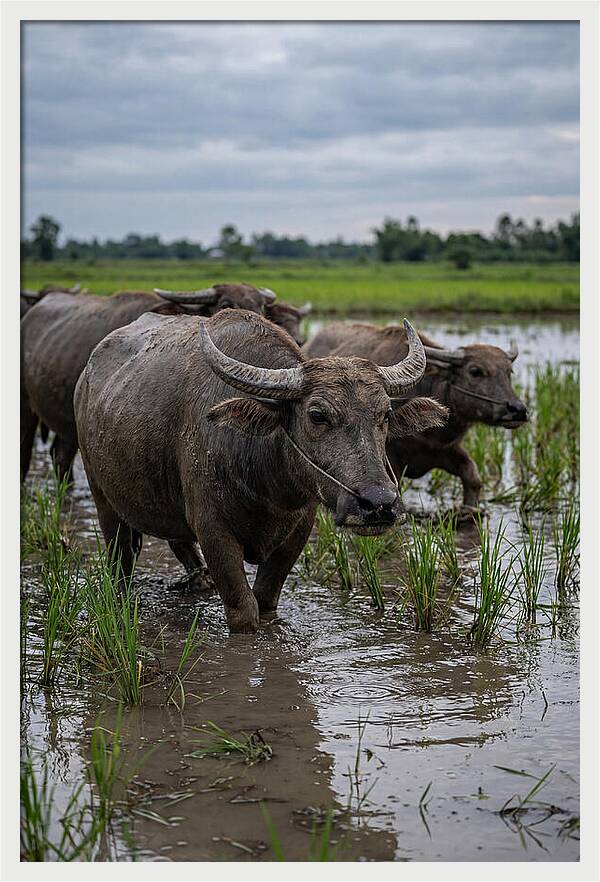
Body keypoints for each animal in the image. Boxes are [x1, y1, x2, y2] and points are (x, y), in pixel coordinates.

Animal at [74, 310, 448, 633]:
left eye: (384, 414)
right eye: (317, 415)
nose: (378, 504)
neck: (268, 484)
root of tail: (86, 378)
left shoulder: (297, 531)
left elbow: (266, 601)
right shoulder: (214, 531)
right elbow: (244, 612)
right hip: (102, 496)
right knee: (120, 559)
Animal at [305, 322, 528, 512]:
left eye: (509, 371)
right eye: (475, 371)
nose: (518, 409)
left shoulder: (446, 450)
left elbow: (473, 477)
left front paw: (470, 510)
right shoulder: (390, 460)